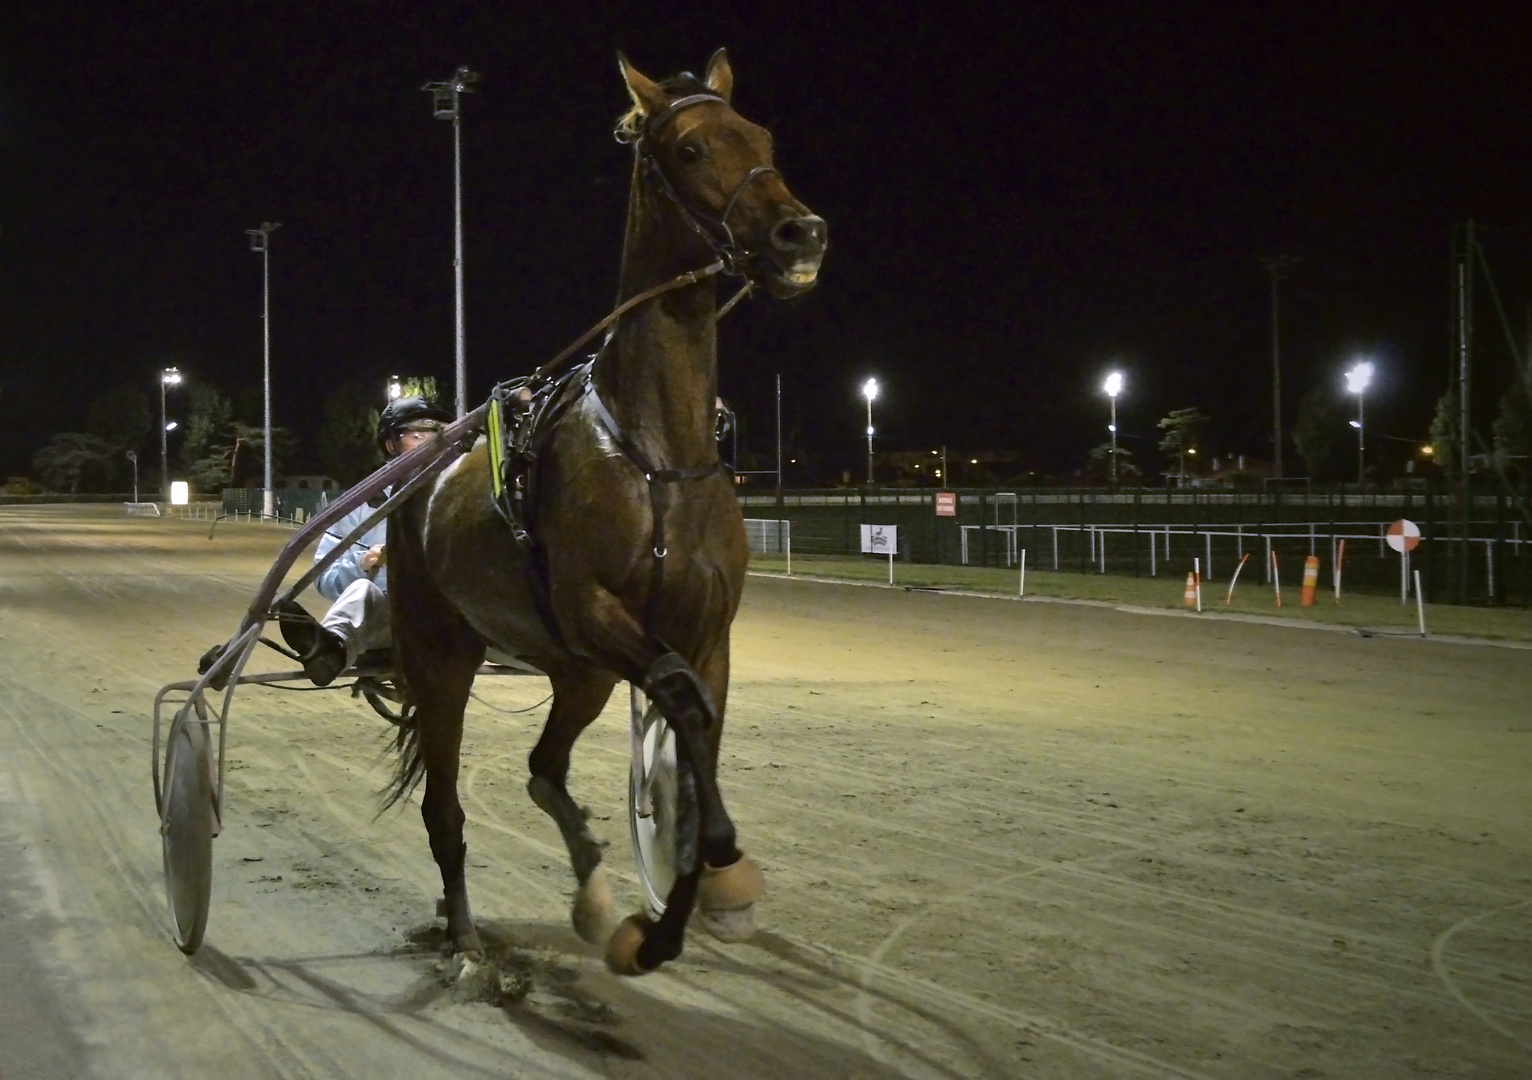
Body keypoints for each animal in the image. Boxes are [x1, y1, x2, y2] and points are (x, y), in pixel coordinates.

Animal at [389, 50, 833, 974]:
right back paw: (465, 939)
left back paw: (591, 890)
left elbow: (699, 727)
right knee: (445, 810)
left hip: (578, 673)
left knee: (543, 765)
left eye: (764, 138)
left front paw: (684, 904)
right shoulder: (598, 613)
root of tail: (414, 479)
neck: (654, 452)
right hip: (444, 655)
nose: (799, 235)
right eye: (693, 149)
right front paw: (694, 889)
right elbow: (682, 707)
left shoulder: (707, 631)